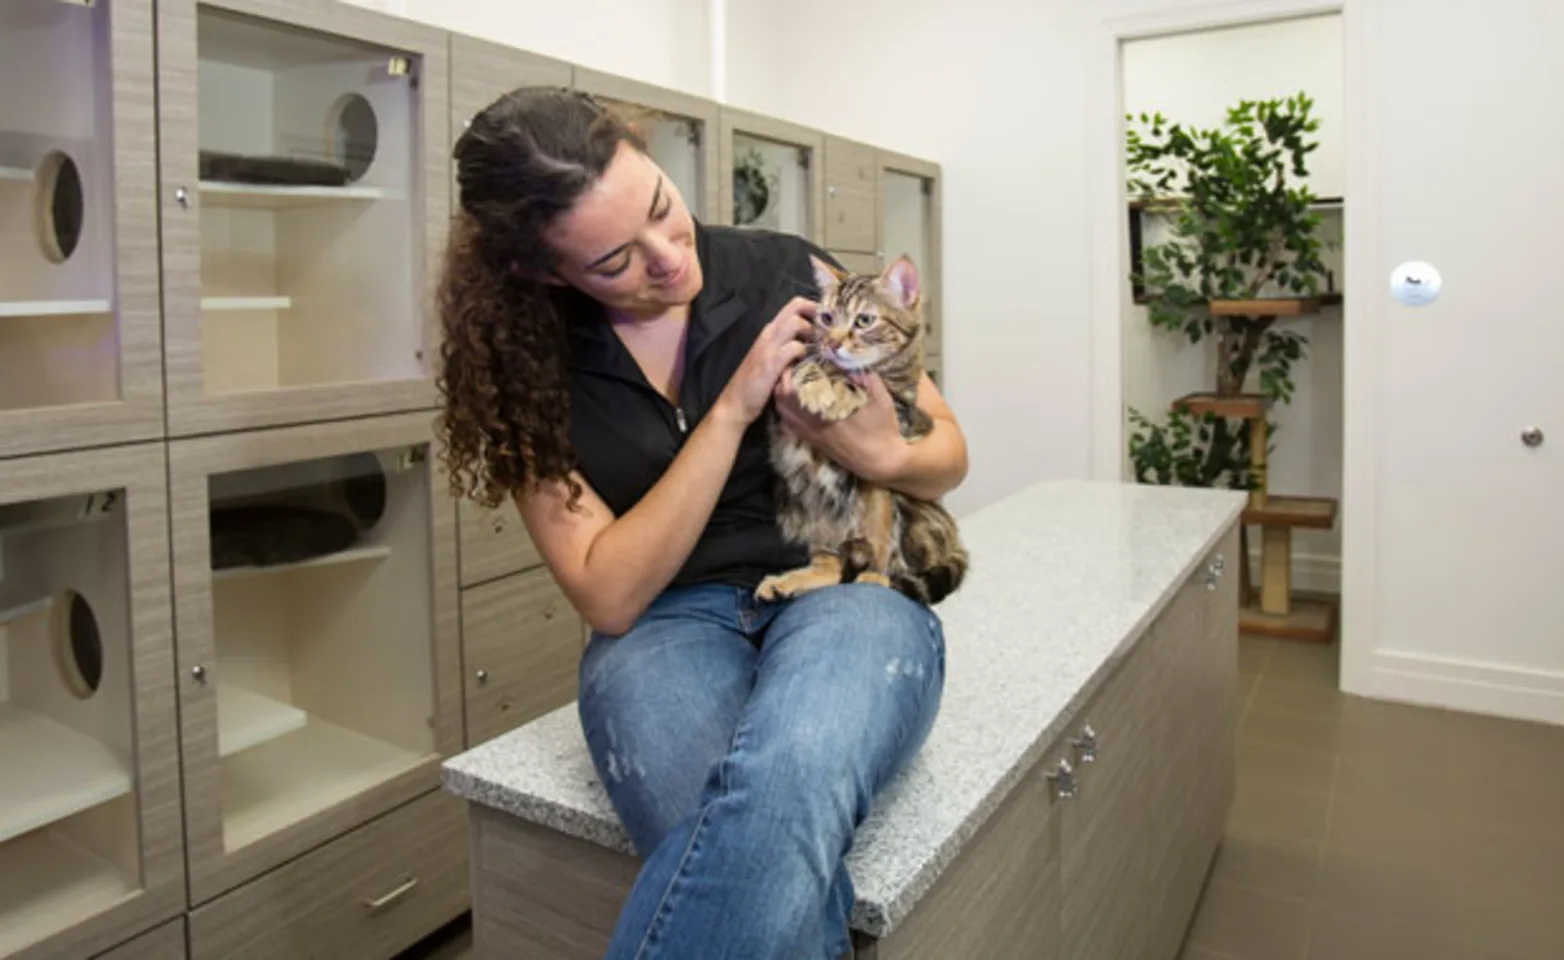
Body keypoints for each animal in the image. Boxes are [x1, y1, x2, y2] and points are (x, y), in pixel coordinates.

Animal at [753, 251, 963, 606]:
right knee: (831, 564)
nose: (833, 343)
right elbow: (807, 363)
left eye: (864, 321)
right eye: (826, 317)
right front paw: (817, 382)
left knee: (882, 557)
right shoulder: (779, 410)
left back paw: (873, 579)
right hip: (804, 508)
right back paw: (792, 580)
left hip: (894, 504)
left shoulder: (901, 409)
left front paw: (842, 390)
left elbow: (862, 380)